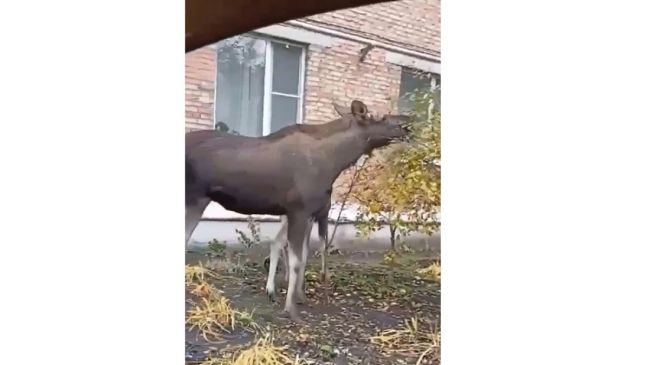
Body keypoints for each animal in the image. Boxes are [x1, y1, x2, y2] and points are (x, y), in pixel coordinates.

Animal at [185, 99, 408, 322]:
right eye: (380, 116)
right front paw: (290, 309)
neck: (335, 162)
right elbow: (297, 260)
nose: (408, 122)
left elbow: (306, 253)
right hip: (194, 199)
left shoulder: (310, 213)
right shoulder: (300, 212)